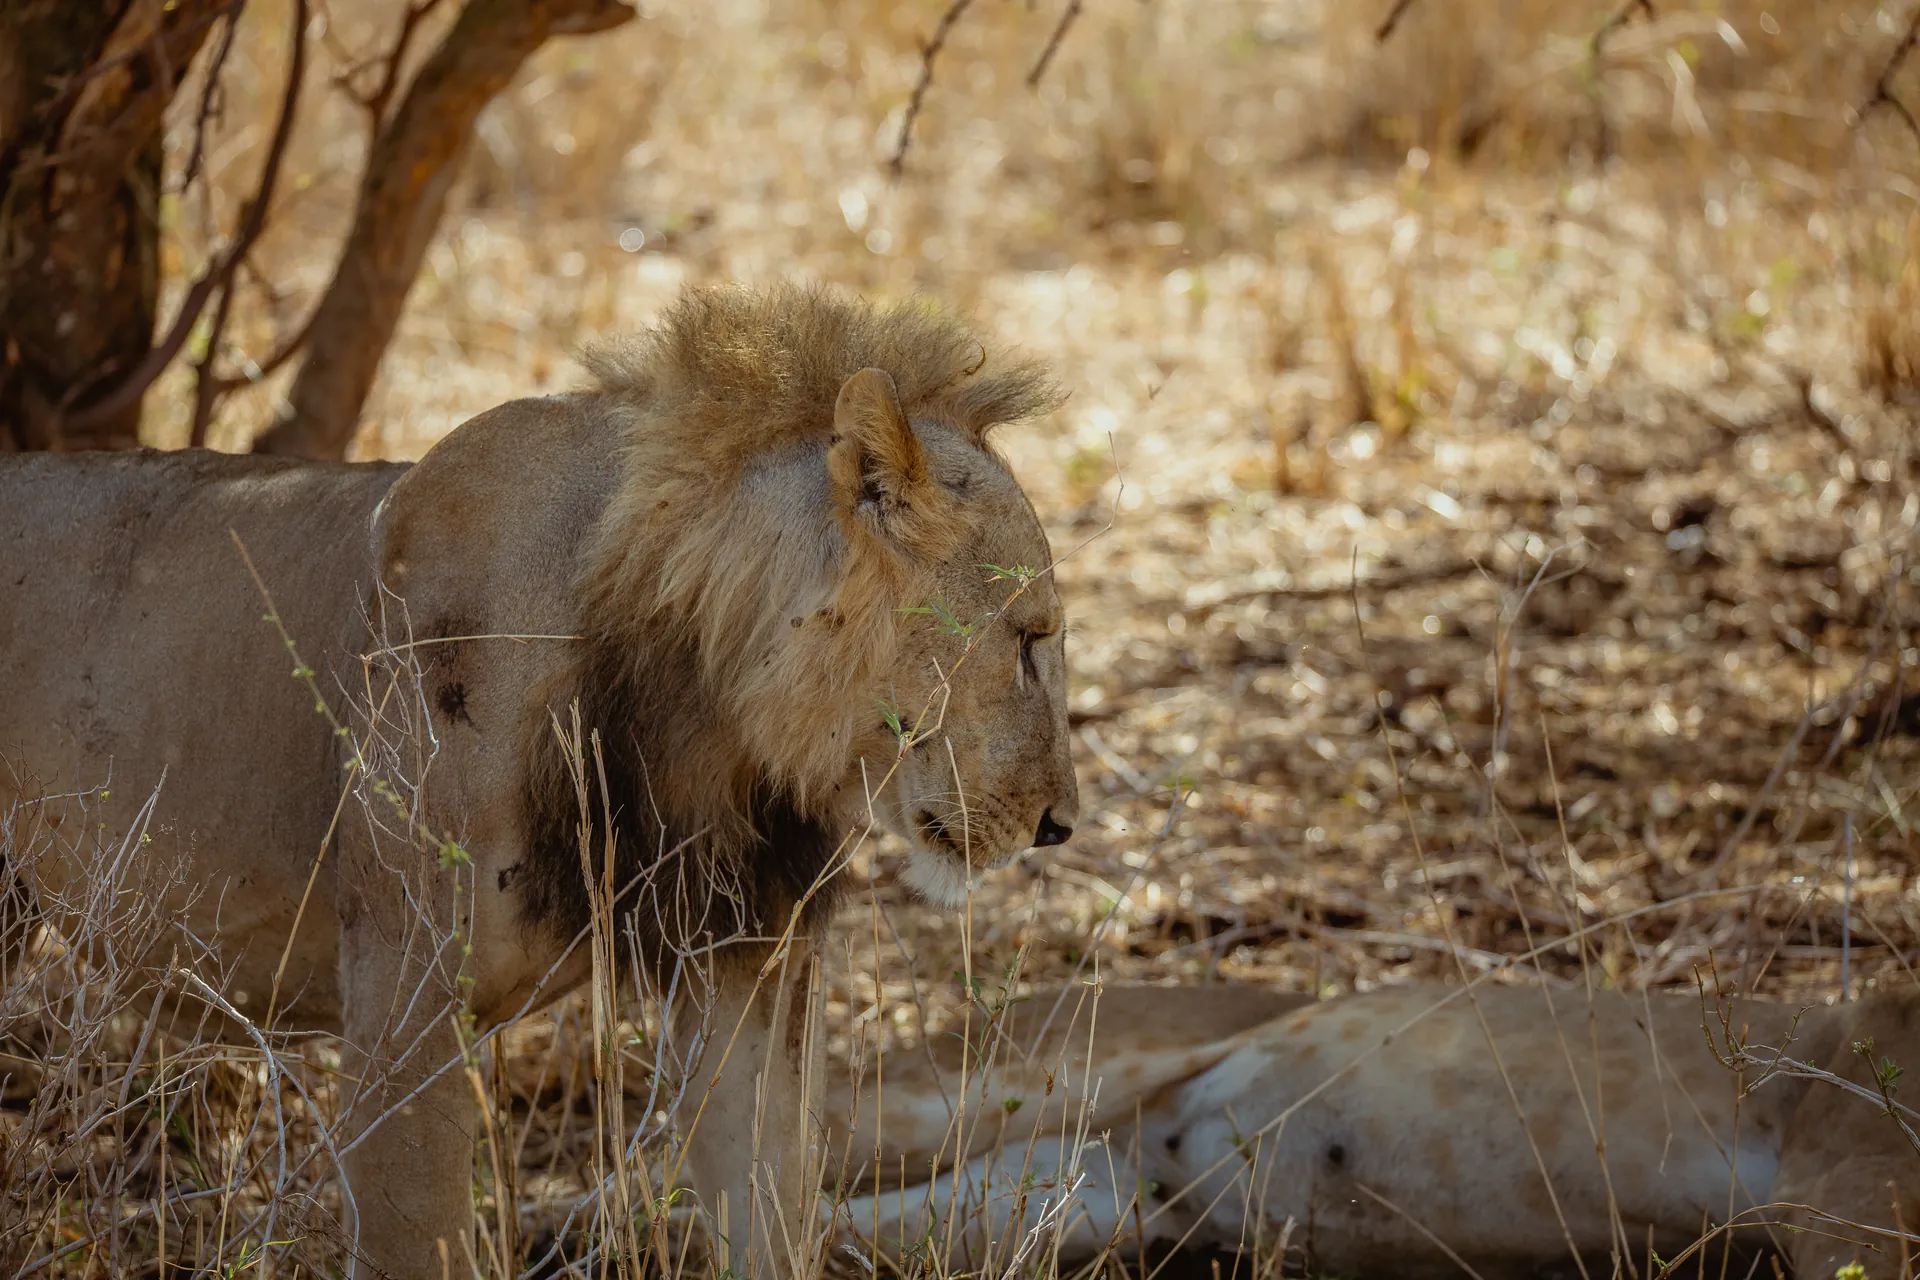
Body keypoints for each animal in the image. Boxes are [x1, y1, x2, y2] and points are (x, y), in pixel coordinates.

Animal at [0, 284, 1080, 1279]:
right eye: (1031, 640)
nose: (1061, 824)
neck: (707, 705)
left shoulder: (748, 959)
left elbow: (772, 1201)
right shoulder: (403, 986)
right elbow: (412, 1239)